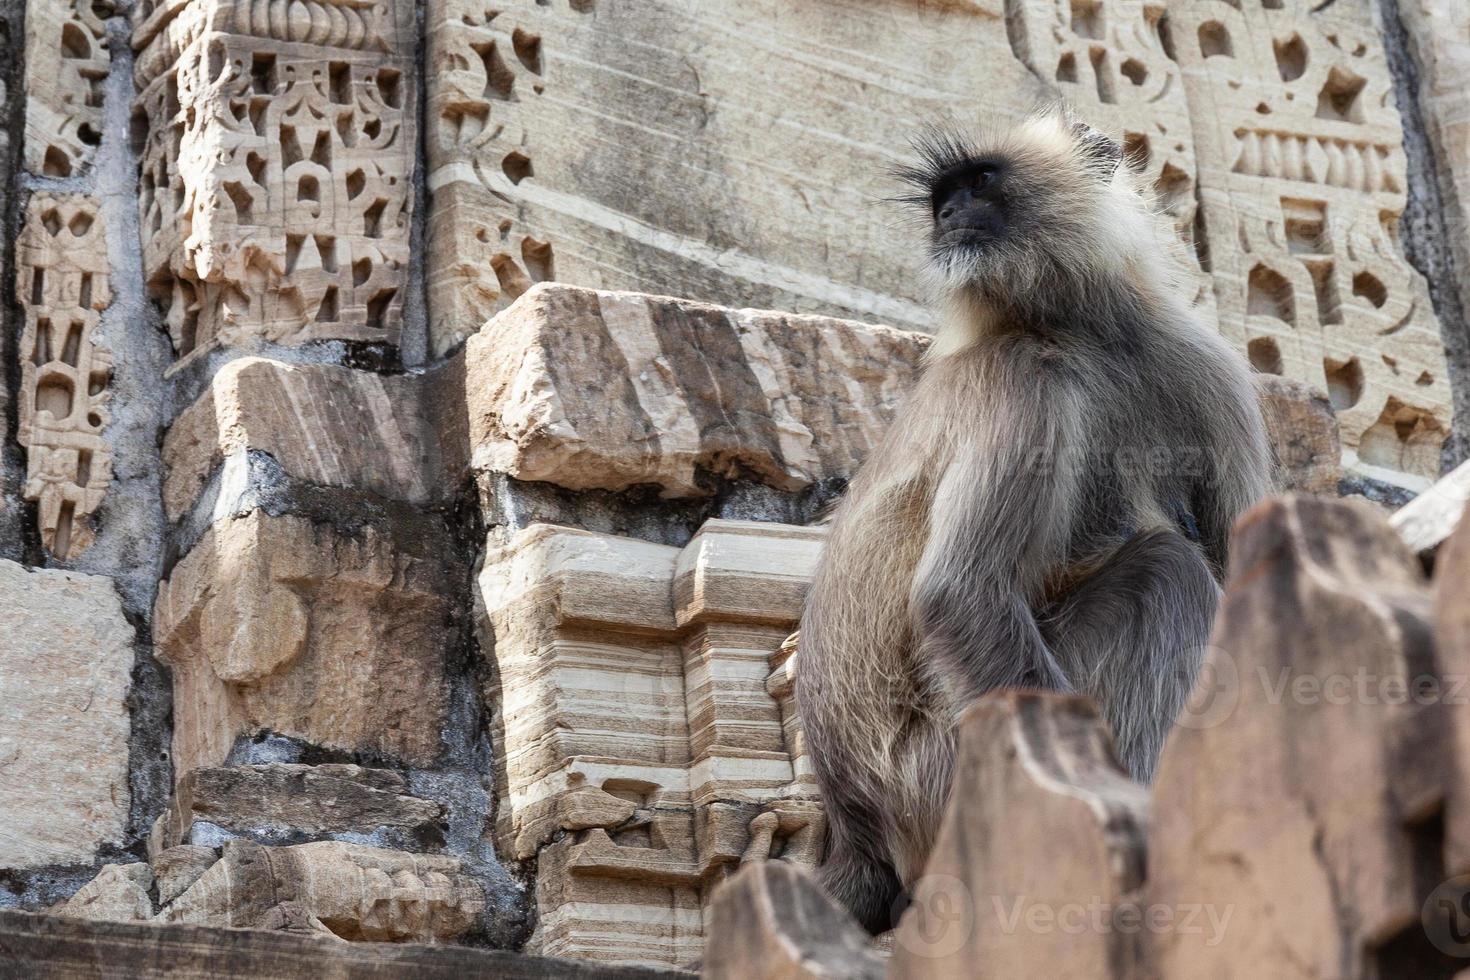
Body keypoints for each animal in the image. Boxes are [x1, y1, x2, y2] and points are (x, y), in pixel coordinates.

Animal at [799, 110, 1270, 934]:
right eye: (943, 200)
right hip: (946, 776)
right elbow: (962, 596)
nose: (951, 216)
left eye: (980, 182)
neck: (1076, 328)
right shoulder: (1024, 380)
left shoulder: (1205, 365)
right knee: (1165, 573)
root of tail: (855, 827)